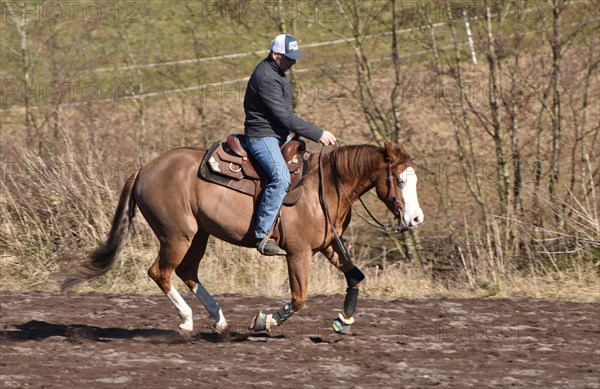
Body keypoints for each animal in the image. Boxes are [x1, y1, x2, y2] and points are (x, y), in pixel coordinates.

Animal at [61, 141, 424, 334]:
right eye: (400, 181)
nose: (416, 218)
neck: (327, 186)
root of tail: (144, 169)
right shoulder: (299, 252)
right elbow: (300, 297)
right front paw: (264, 321)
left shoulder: (328, 245)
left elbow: (355, 276)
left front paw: (343, 320)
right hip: (178, 235)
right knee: (160, 272)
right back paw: (187, 322)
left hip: (199, 235)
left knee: (187, 272)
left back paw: (219, 321)